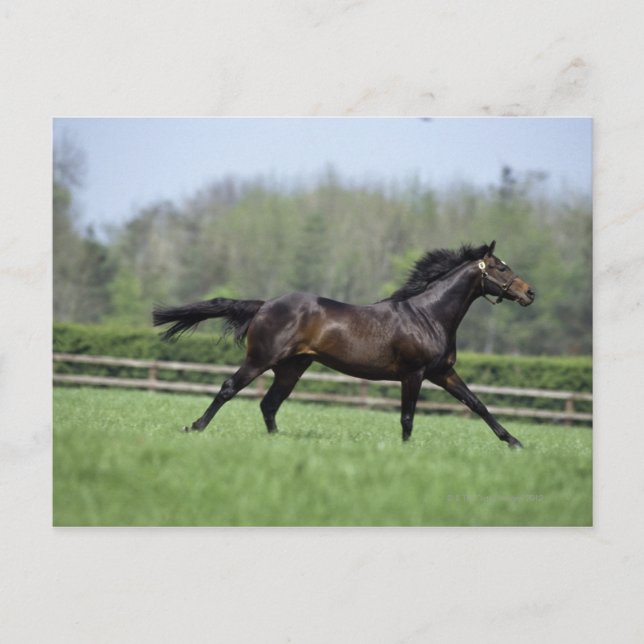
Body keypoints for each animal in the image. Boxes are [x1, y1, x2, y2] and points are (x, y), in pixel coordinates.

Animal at [153, 240, 535, 448]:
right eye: (501, 268)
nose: (530, 293)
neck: (428, 316)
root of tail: (264, 304)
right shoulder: (414, 374)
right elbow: (407, 418)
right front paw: (406, 451)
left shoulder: (442, 373)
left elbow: (477, 404)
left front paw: (515, 442)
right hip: (261, 359)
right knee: (229, 388)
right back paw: (195, 427)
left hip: (291, 368)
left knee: (269, 404)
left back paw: (278, 441)